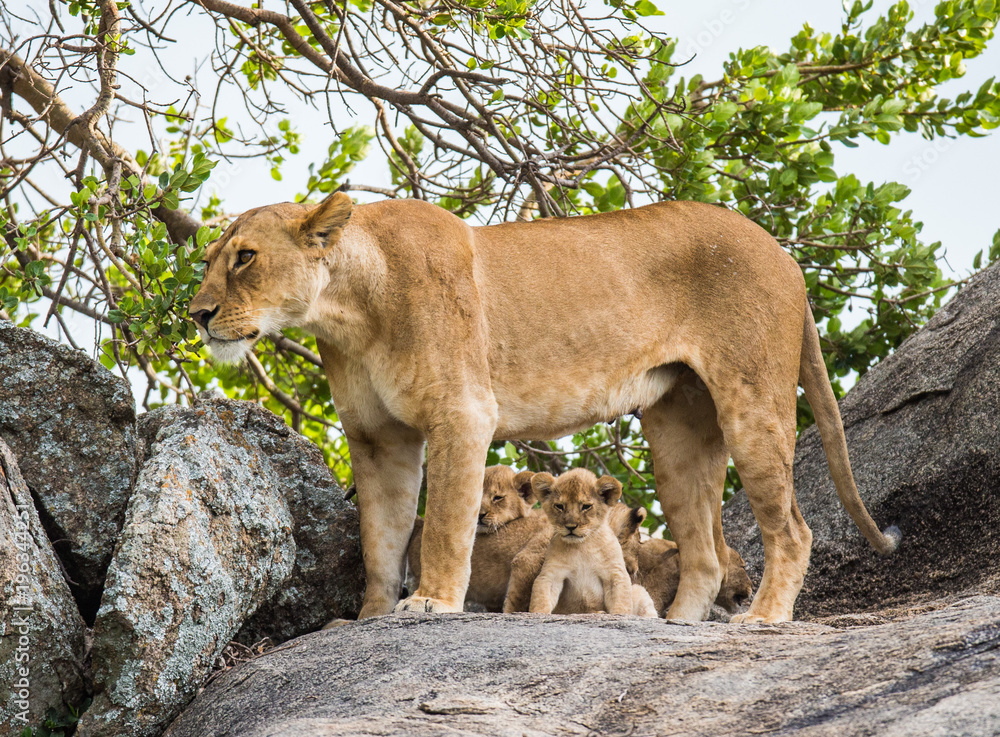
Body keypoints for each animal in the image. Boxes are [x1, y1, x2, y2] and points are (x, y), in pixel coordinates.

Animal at [526, 469, 656, 617]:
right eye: (559, 506)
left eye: (586, 506)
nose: (570, 527)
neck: (583, 546)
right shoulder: (552, 573)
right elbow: (541, 597)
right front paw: (538, 613)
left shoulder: (615, 573)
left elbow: (620, 601)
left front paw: (619, 613)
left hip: (639, 592)